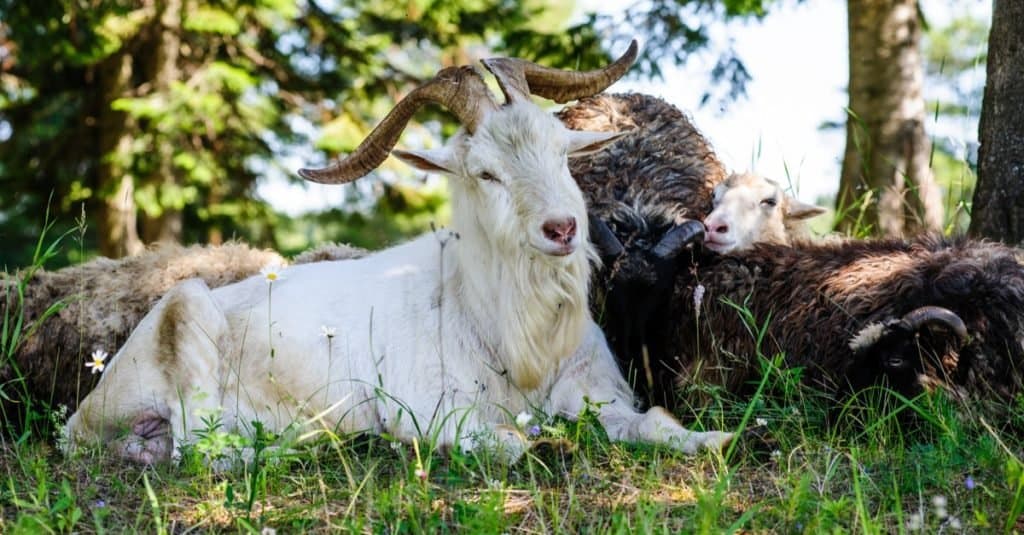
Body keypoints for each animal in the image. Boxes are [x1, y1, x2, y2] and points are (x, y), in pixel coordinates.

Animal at [65, 44, 733, 465]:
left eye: (561, 151)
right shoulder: (433, 411)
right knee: (205, 451)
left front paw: (715, 441)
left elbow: (655, 424)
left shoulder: (595, 391)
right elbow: (515, 443)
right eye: (485, 172)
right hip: (187, 308)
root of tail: (81, 417)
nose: (563, 228)